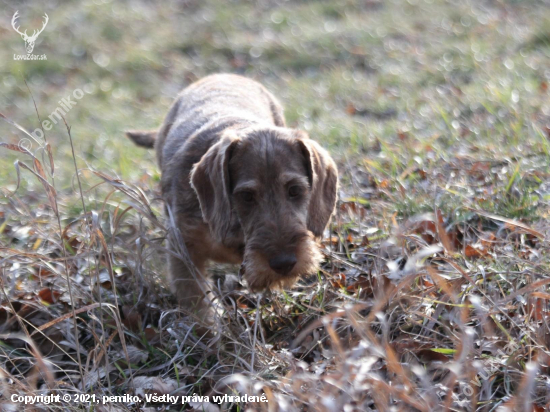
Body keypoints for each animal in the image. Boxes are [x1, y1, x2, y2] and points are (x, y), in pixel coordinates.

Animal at [127, 74, 338, 318]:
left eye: (295, 190)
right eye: (246, 196)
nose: (284, 263)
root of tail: (223, 75)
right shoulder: (183, 248)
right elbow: (198, 303)